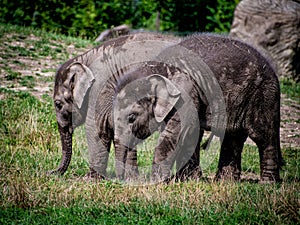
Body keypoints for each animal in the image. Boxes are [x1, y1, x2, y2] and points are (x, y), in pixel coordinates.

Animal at [50, 32, 185, 179]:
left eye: (58, 104)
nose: (51, 172)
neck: (85, 59)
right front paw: (132, 179)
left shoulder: (101, 85)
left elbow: (98, 125)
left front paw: (89, 179)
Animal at [112, 34, 284, 184]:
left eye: (132, 117)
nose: (121, 181)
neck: (157, 68)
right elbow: (191, 134)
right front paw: (187, 180)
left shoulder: (185, 94)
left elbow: (175, 134)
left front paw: (156, 183)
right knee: (233, 136)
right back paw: (225, 182)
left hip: (263, 95)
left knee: (263, 136)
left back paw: (267, 184)